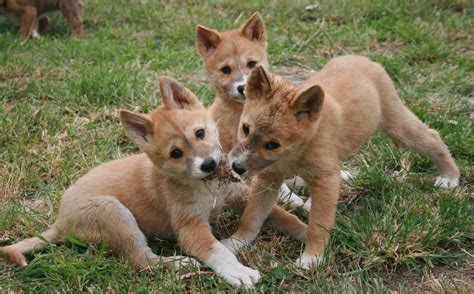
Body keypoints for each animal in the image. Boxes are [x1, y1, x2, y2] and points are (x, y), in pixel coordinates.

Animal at [0, 77, 308, 288]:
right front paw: (239, 272)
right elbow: (218, 251)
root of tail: (60, 222)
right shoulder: (190, 227)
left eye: (199, 133)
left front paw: (309, 233)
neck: (208, 187)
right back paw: (178, 263)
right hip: (115, 214)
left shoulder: (240, 197)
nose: (208, 165)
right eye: (176, 153)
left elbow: (282, 216)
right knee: (141, 261)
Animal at [224, 55, 462, 268]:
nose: (237, 167)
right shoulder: (268, 179)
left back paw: (450, 176)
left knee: (432, 137)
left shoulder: (325, 180)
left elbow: (318, 225)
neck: (295, 153)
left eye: (272, 144)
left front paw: (312, 258)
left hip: (398, 125)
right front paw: (237, 242)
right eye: (245, 129)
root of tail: (363, 59)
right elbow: (251, 217)